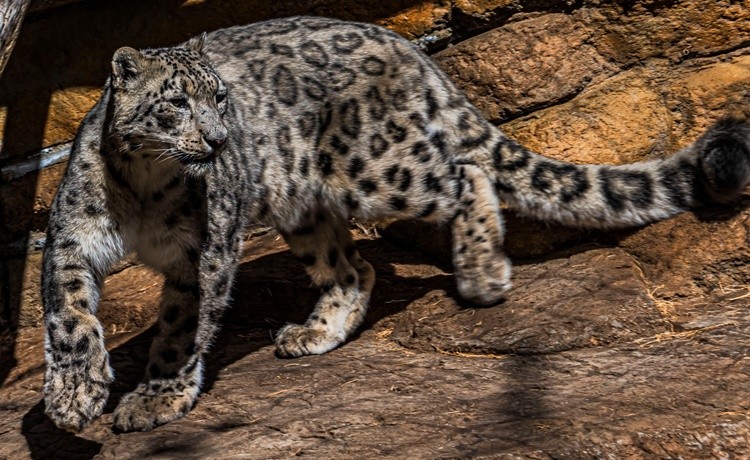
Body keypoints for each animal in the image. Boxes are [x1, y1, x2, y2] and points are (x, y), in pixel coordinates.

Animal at [42, 15, 750, 433]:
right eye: (175, 103)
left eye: (219, 98)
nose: (218, 141)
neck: (144, 189)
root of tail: (406, 45)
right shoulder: (73, 237)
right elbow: (68, 316)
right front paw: (74, 397)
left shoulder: (203, 252)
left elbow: (181, 328)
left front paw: (154, 397)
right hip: (307, 204)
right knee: (353, 267)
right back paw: (314, 333)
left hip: (382, 170)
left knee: (466, 175)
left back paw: (483, 276)